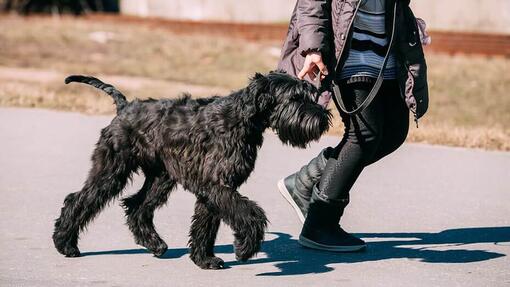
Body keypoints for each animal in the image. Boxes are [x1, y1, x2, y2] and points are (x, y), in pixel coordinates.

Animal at [51, 71, 330, 270]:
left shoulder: (214, 190)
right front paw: (244, 247)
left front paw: (204, 259)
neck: (241, 119)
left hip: (160, 178)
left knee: (137, 206)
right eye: (295, 98)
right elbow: (251, 213)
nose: (324, 118)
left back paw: (155, 244)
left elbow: (206, 224)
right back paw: (65, 244)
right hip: (111, 170)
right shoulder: (217, 186)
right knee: (78, 200)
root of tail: (124, 107)